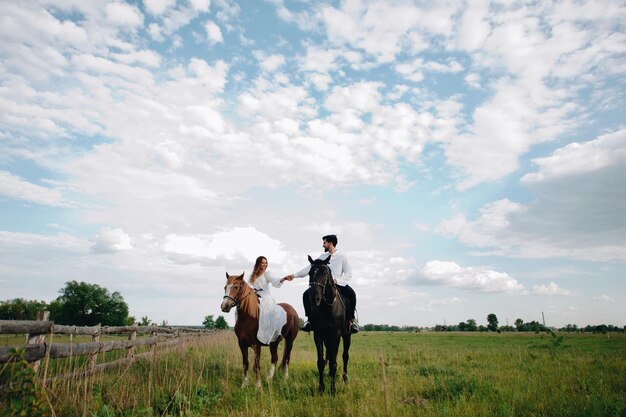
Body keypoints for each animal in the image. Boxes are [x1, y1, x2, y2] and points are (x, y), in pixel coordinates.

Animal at [306, 254, 352, 394]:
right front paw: (321, 389)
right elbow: (321, 362)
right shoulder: (318, 335)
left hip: (347, 335)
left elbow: (333, 363)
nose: (314, 298)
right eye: (310, 272)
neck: (327, 308)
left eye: (325, 273)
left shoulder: (336, 336)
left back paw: (345, 379)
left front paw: (333, 390)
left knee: (345, 356)